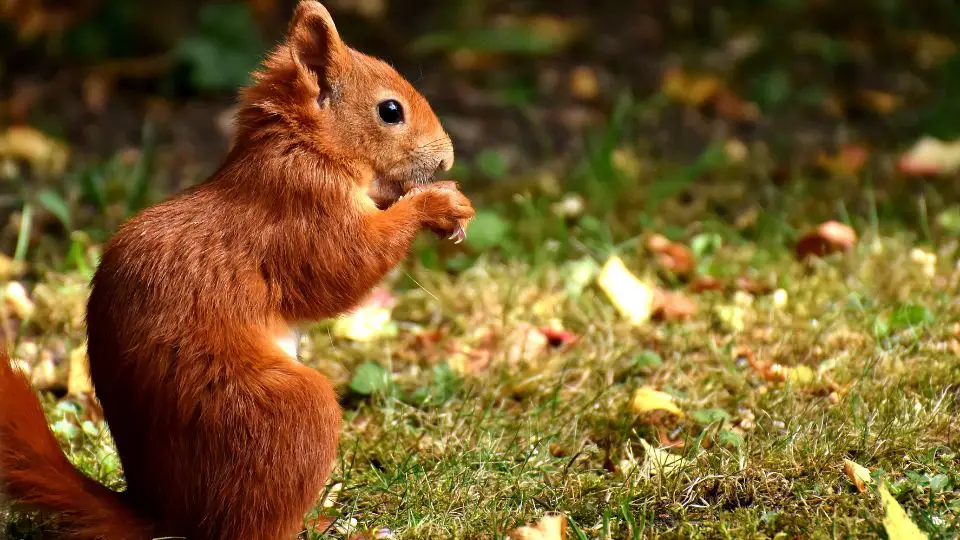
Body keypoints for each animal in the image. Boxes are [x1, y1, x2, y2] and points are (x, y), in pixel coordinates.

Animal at [0, 2, 472, 536]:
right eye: (390, 111)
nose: (447, 159)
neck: (303, 148)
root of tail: (166, 515)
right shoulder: (303, 215)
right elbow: (345, 267)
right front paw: (437, 204)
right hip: (278, 414)